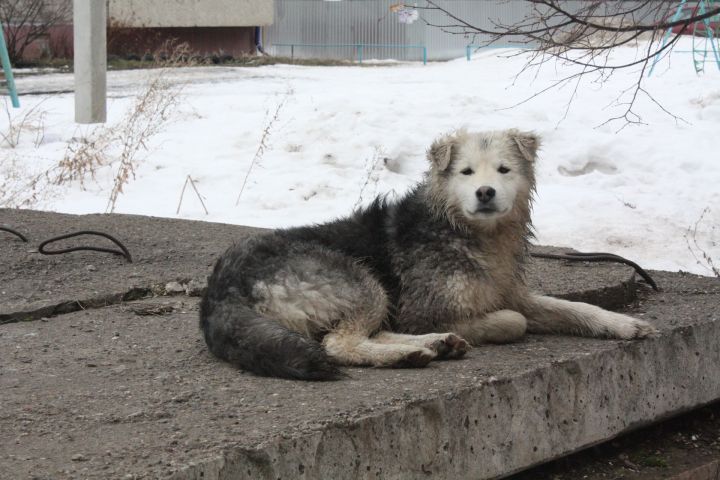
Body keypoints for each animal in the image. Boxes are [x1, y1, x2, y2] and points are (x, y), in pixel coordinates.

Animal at [198, 129, 660, 380]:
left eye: (504, 170)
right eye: (466, 172)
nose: (485, 192)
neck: (464, 231)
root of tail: (220, 288)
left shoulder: (511, 292)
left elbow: (573, 308)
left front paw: (622, 324)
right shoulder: (423, 309)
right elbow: (516, 321)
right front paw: (488, 326)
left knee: (363, 334)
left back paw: (435, 345)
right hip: (361, 281)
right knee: (341, 344)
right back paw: (410, 352)